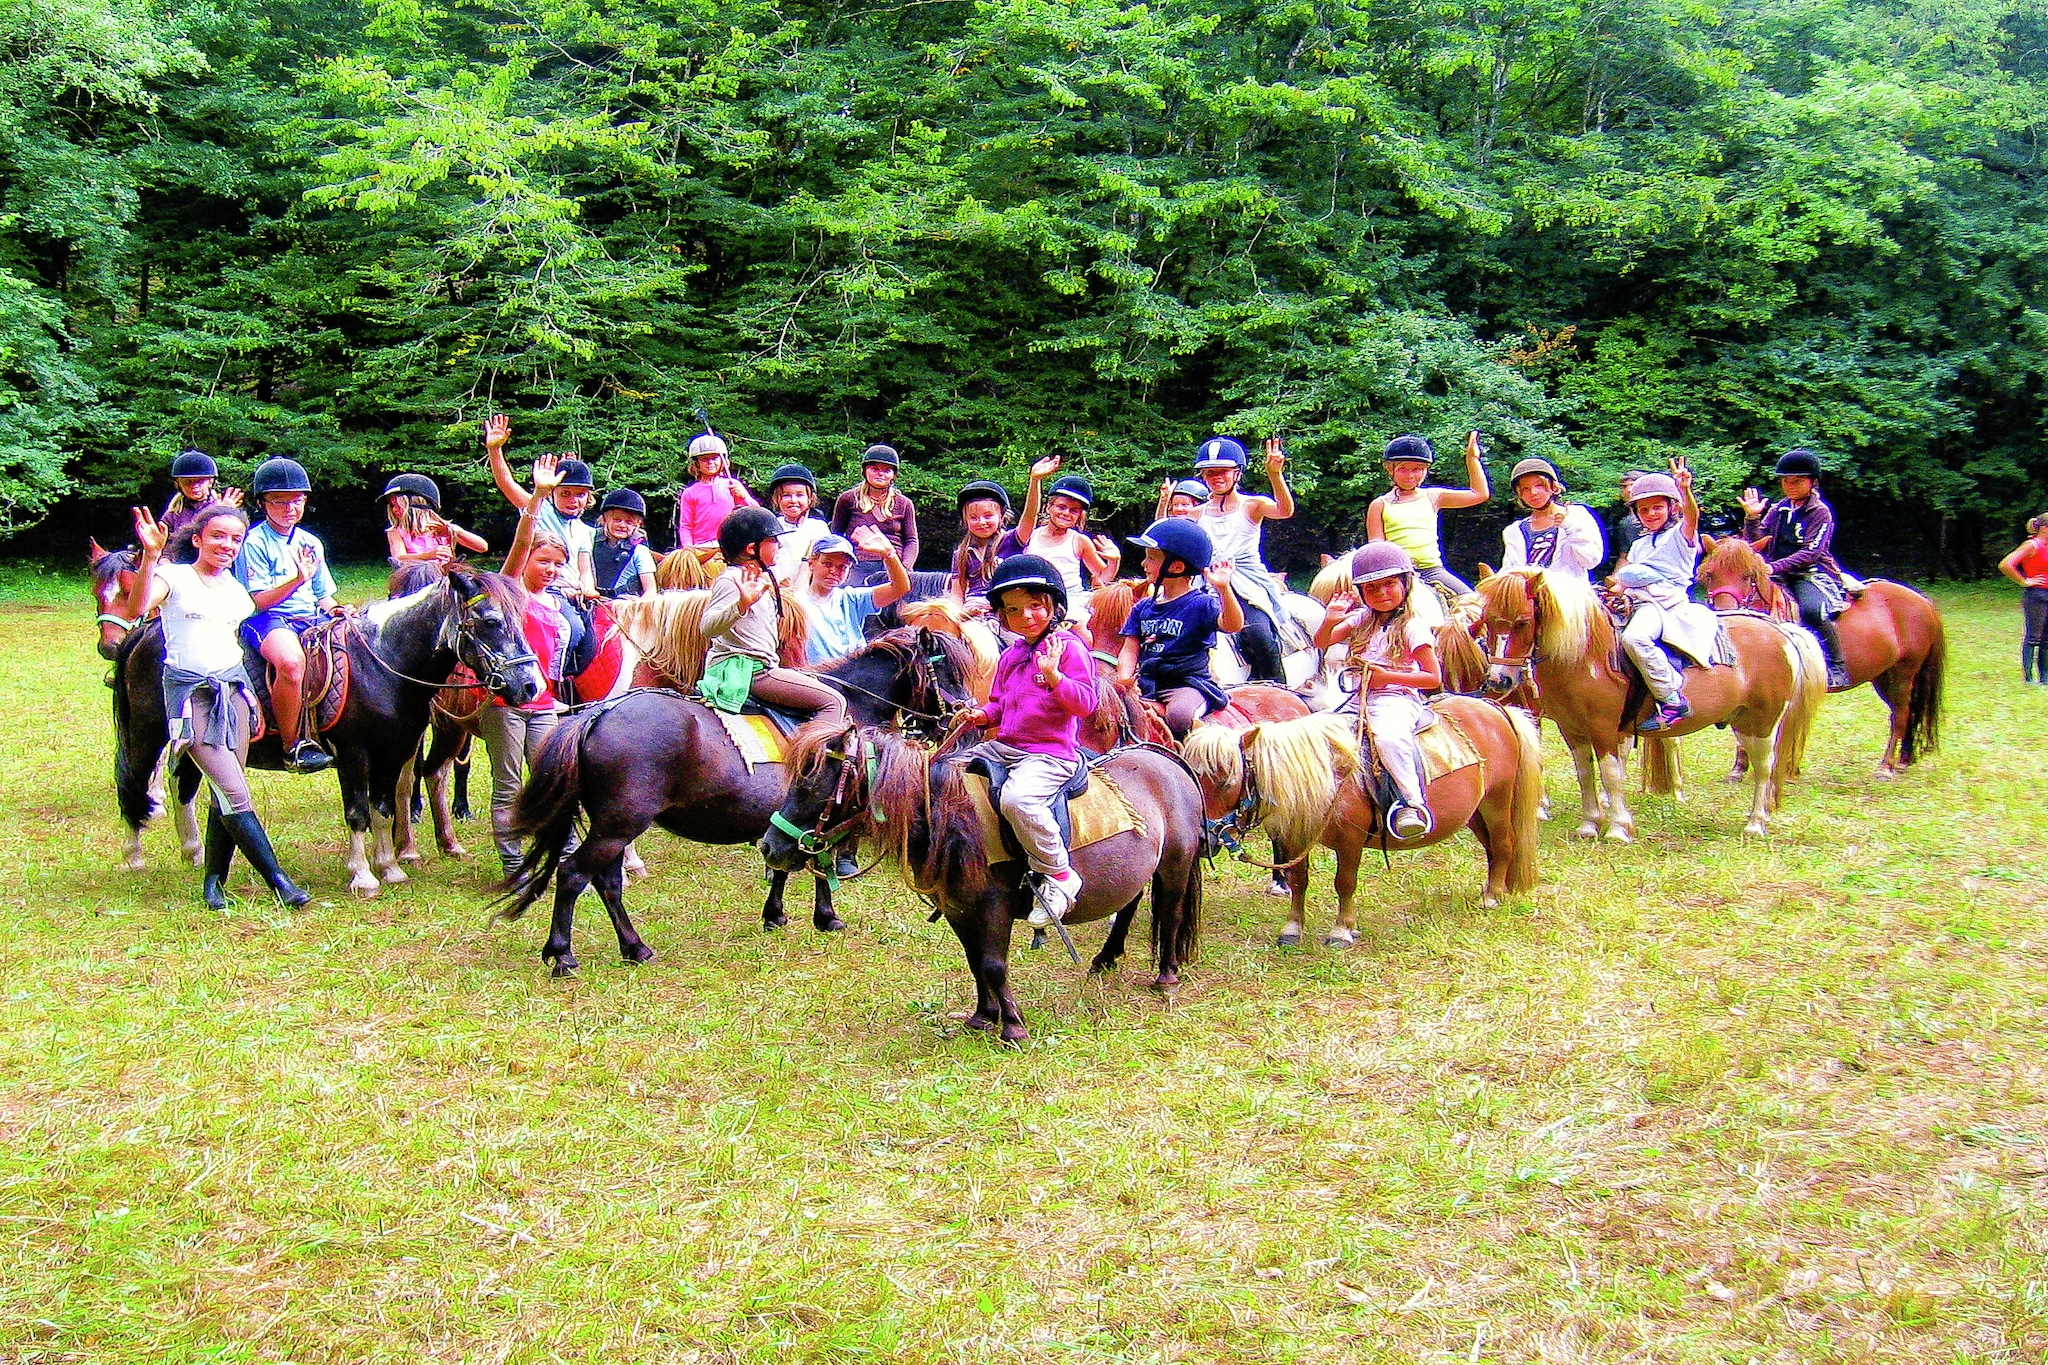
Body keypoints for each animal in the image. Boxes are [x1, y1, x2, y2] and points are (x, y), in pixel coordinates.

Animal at [109, 564, 544, 896]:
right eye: (491, 622)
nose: (530, 686)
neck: (383, 661)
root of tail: (144, 631)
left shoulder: (392, 753)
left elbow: (383, 810)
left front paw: (390, 868)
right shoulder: (354, 755)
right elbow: (357, 813)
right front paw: (363, 876)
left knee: (184, 783)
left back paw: (194, 852)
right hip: (148, 734)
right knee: (135, 784)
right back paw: (133, 857)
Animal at [495, 626, 974, 978]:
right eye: (949, 672)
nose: (966, 712)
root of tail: (598, 714)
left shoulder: (790, 822)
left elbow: (783, 863)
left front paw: (775, 914)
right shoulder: (824, 816)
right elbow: (818, 865)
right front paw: (826, 916)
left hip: (613, 827)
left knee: (606, 883)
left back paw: (634, 947)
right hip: (619, 825)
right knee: (573, 874)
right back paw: (562, 954)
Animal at [1179, 703, 1540, 949]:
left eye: (1227, 780)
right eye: (1192, 774)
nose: (1203, 838)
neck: (1330, 774)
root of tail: (1497, 709)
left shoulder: (1350, 842)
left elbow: (1345, 883)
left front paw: (1342, 930)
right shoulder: (1297, 837)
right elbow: (1298, 881)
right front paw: (1292, 929)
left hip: (1496, 802)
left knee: (1504, 844)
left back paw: (1492, 896)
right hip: (1475, 813)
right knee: (1493, 849)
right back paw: (1493, 888)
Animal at [1474, 564, 1826, 843]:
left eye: (1522, 621)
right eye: (1487, 621)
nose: (1499, 681)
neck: (1585, 656)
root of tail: (1779, 630)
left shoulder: (1605, 730)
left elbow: (1610, 774)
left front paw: (1617, 828)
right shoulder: (1572, 730)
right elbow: (1585, 774)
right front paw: (1589, 825)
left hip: (1762, 722)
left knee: (1765, 768)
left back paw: (1755, 823)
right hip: (1744, 721)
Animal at [1695, 540, 1949, 785]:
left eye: (1748, 575)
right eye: (1710, 574)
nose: (1725, 612)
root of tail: (1922, 600)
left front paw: (1787, 771)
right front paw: (1738, 769)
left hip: (1903, 673)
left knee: (1900, 715)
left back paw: (1886, 767)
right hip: (1884, 676)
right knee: (1907, 712)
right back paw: (1904, 760)